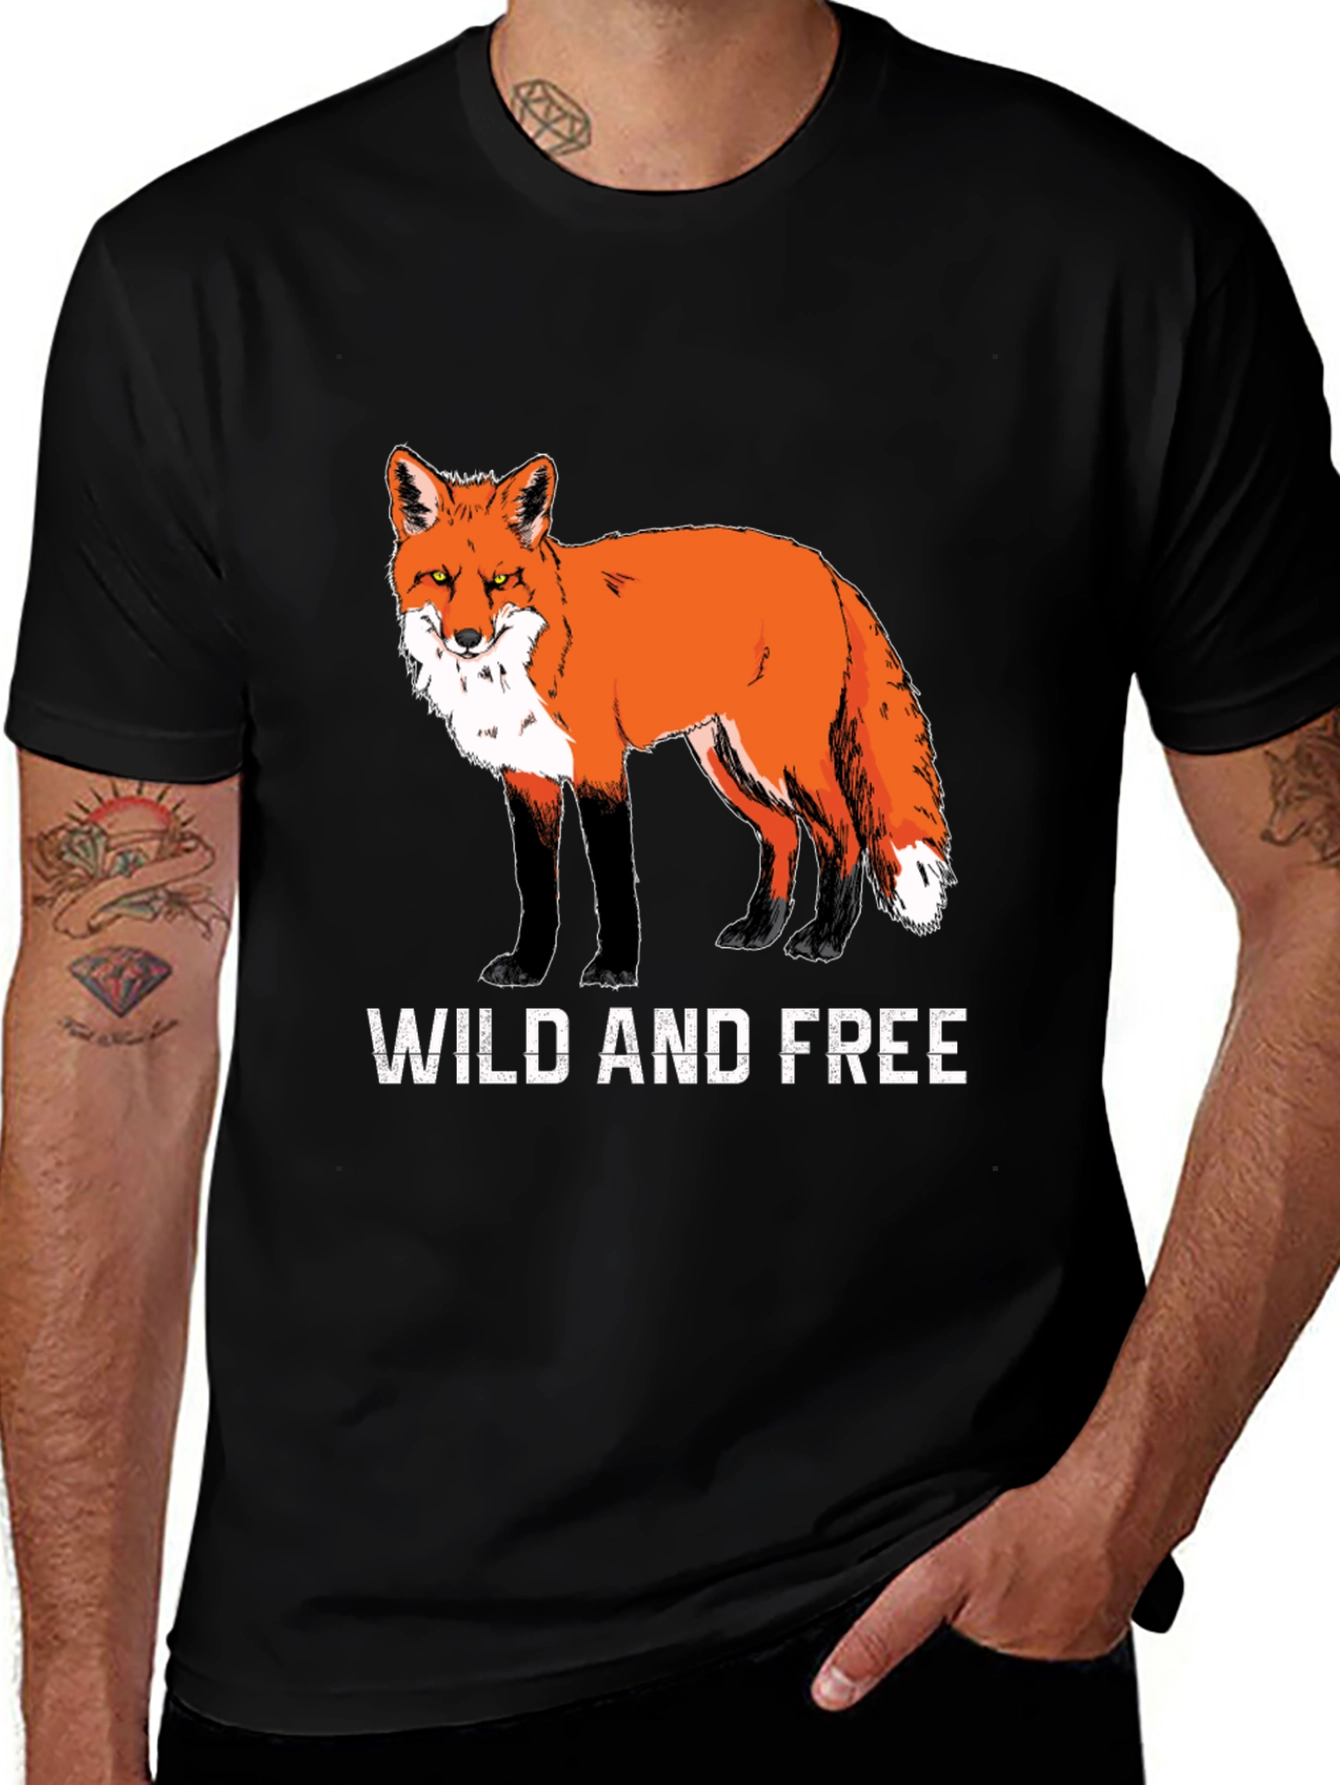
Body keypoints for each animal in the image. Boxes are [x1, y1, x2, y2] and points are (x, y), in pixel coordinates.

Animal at [386, 448, 953, 988]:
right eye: (440, 578)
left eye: (501, 580)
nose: (467, 640)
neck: (524, 659)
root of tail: (822, 565)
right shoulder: (527, 777)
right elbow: (537, 886)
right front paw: (529, 967)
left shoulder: (600, 768)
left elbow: (613, 877)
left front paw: (615, 969)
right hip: (726, 760)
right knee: (783, 832)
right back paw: (761, 929)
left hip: (778, 754)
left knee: (843, 834)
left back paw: (826, 938)